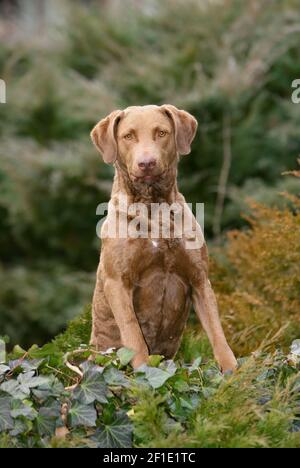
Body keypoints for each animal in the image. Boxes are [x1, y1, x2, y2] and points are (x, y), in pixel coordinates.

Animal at [89, 104, 237, 372]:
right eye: (128, 136)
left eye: (161, 133)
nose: (146, 163)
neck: (153, 207)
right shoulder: (117, 282)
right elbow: (133, 334)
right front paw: (143, 371)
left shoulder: (200, 279)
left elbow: (217, 332)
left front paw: (231, 370)